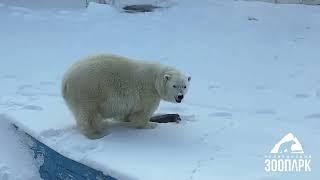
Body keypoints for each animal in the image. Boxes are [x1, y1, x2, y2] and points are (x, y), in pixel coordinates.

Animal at [62, 53, 191, 139]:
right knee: (88, 114)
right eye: (174, 86)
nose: (180, 96)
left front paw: (126, 119)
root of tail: (65, 80)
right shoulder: (148, 92)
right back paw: (97, 133)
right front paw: (150, 124)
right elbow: (143, 112)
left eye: (184, 86)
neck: (156, 79)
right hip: (88, 91)